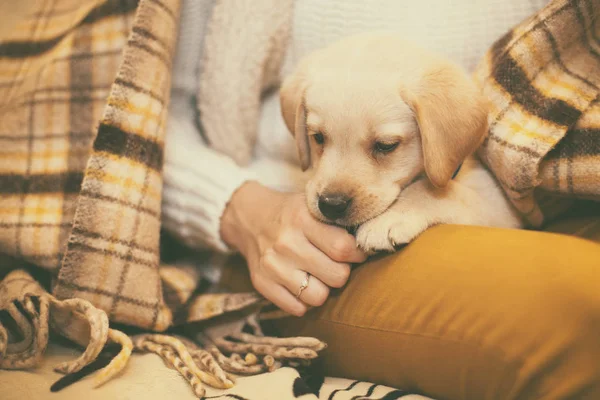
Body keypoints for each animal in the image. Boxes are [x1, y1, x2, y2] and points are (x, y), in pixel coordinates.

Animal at [278, 34, 524, 253]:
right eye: (318, 137)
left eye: (385, 145)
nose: (331, 205)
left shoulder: (501, 210)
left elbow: (436, 190)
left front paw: (389, 218)